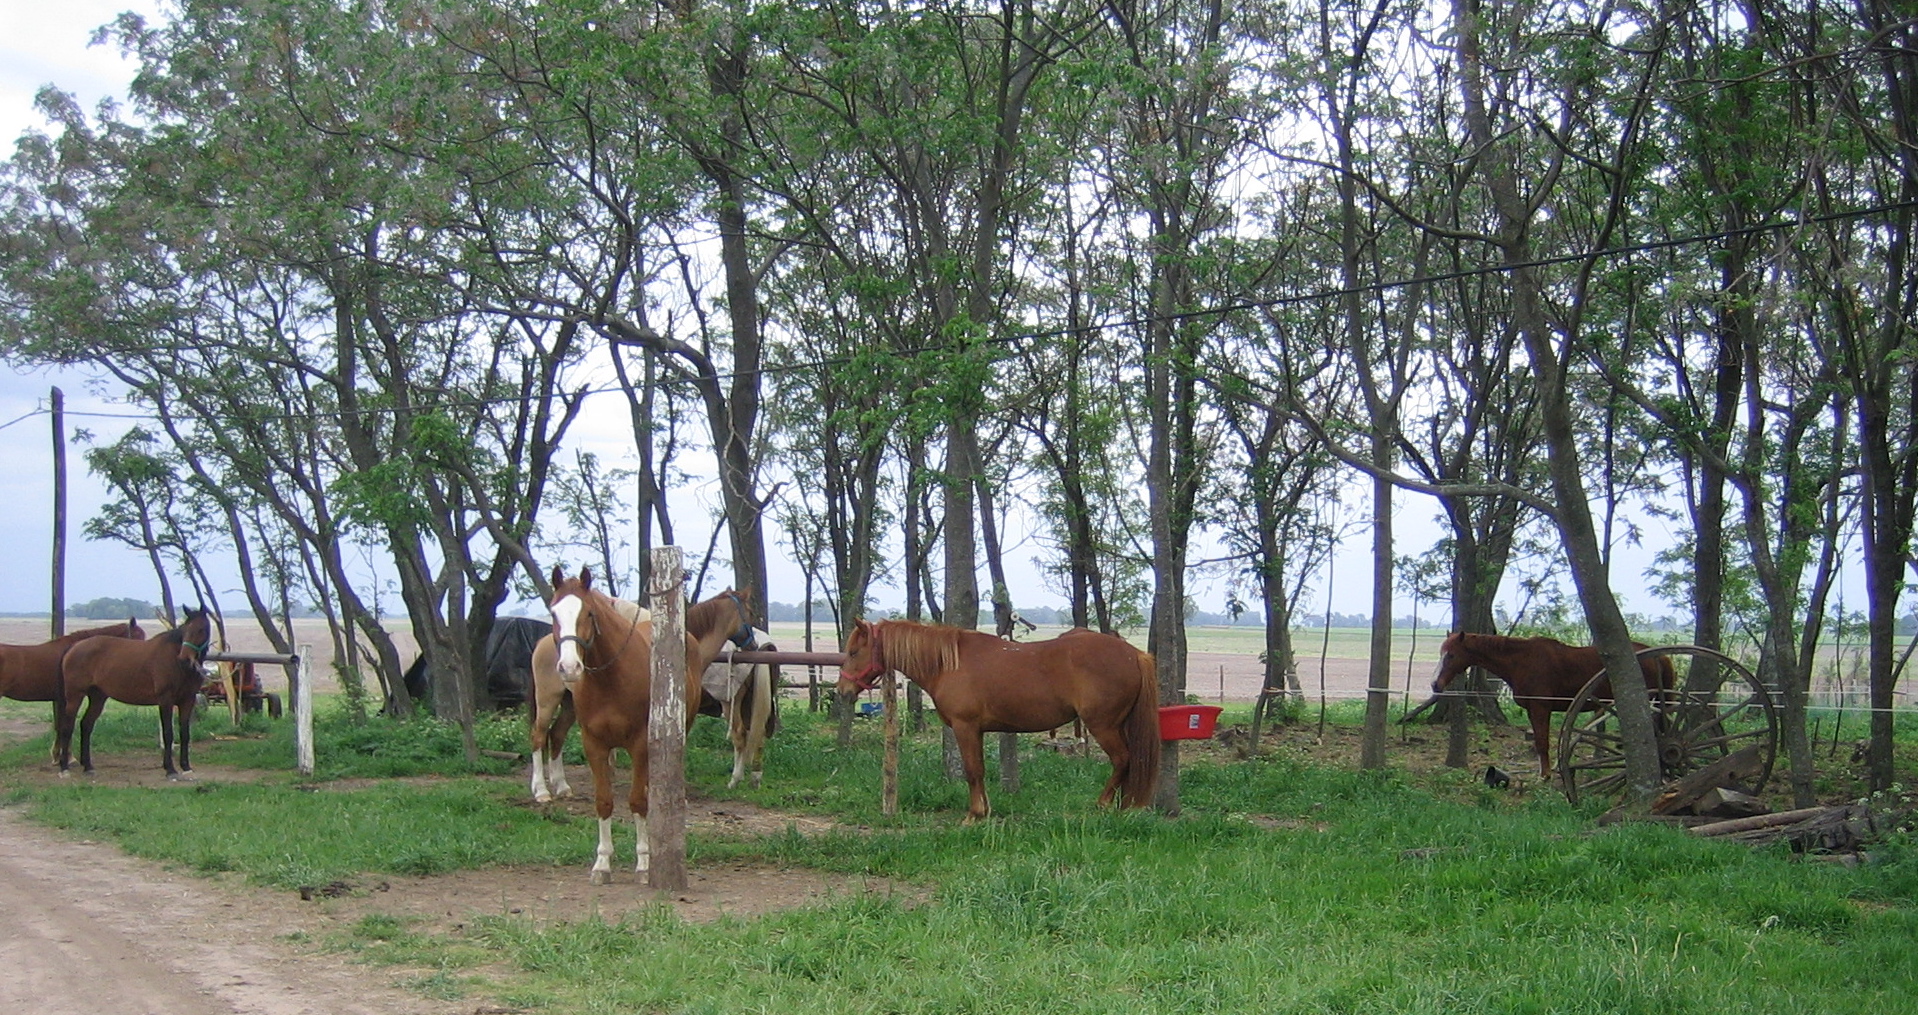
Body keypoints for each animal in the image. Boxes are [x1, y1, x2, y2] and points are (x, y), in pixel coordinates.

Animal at [56, 607, 212, 780]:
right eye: (185, 630)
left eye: (201, 629)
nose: (184, 658)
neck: (176, 662)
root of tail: (74, 647)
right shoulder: (165, 700)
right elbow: (168, 733)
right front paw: (170, 769)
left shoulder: (187, 700)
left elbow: (184, 733)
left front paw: (186, 767)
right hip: (75, 696)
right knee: (67, 728)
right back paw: (64, 768)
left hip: (98, 697)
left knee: (86, 725)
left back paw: (88, 766)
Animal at [546, 566, 753, 883]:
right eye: (553, 612)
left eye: (589, 613)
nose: (569, 668)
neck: (610, 679)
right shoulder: (594, 744)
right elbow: (604, 801)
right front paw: (602, 863)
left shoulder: (640, 743)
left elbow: (637, 802)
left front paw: (644, 862)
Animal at [837, 620, 1160, 822]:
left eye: (854, 651)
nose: (843, 691)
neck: (948, 664)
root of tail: (1135, 654)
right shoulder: (977, 731)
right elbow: (979, 770)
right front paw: (985, 810)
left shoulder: (965, 727)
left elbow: (972, 771)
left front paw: (974, 815)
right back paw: (1123, 805)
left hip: (1103, 725)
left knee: (1122, 760)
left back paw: (1104, 803)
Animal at [1431, 630, 1675, 779]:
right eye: (1441, 653)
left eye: (1451, 655)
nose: (1435, 684)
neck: (1523, 661)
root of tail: (1660, 657)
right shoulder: (1533, 710)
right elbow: (1539, 743)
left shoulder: (1541, 709)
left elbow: (1542, 742)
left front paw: (1546, 776)